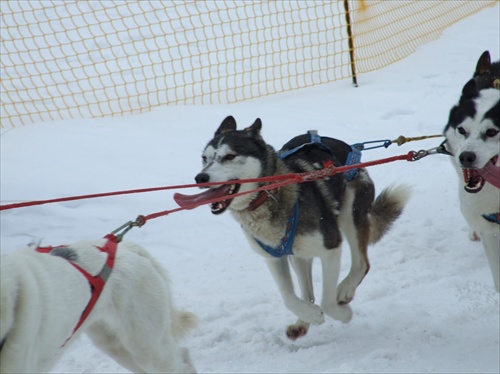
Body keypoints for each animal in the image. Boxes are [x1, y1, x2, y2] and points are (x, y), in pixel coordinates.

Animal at [176, 117, 410, 338]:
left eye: (230, 156)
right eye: (205, 158)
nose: (201, 177)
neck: (268, 195)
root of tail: (351, 148)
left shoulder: (331, 247)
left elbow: (327, 303)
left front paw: (343, 314)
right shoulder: (273, 257)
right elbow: (289, 297)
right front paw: (310, 314)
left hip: (350, 216)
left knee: (361, 264)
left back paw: (344, 291)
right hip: (299, 253)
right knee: (308, 292)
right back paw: (302, 322)